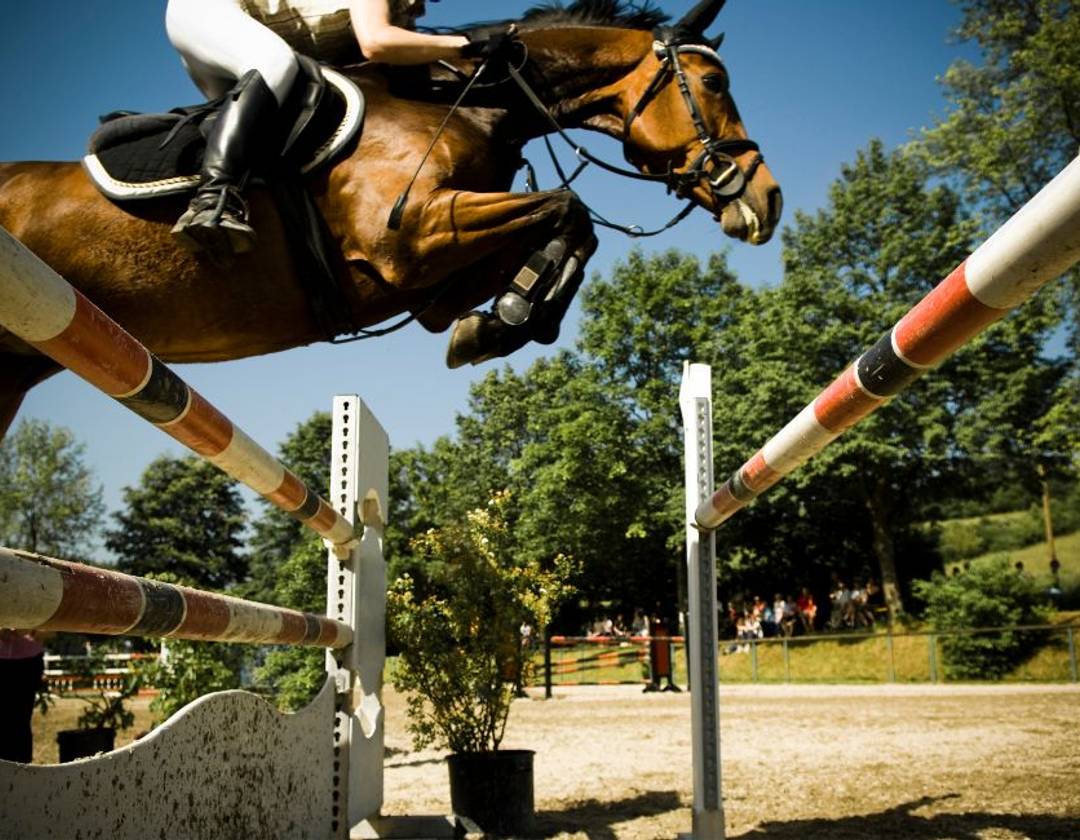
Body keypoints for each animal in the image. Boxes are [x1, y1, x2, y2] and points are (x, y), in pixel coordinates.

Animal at [0, 0, 781, 439]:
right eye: (712, 83)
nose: (769, 200)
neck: (470, 102)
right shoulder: (408, 237)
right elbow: (569, 208)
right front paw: (508, 321)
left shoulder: (430, 278)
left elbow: (567, 231)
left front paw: (503, 323)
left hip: (19, 364)